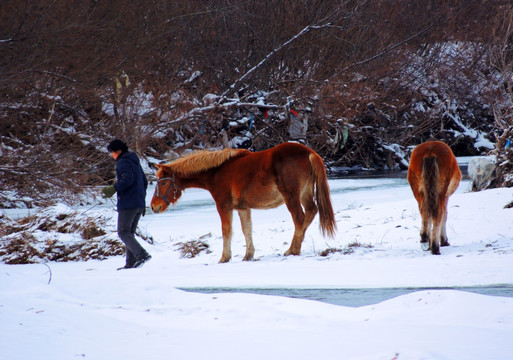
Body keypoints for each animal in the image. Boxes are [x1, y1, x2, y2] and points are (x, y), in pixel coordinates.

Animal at [150, 142, 338, 262]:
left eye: (163, 182)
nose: (153, 206)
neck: (217, 172)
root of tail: (309, 152)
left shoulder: (224, 207)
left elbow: (227, 231)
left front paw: (224, 257)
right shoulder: (243, 208)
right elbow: (246, 229)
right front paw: (248, 255)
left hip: (291, 197)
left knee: (299, 219)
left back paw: (294, 250)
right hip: (305, 194)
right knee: (310, 213)